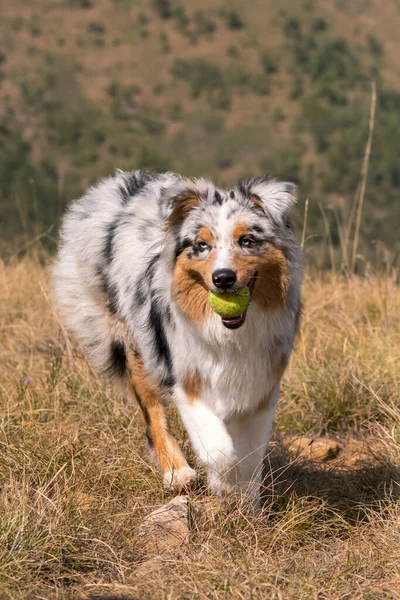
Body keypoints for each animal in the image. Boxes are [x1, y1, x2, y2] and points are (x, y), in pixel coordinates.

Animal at [53, 170, 304, 506]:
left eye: (247, 241)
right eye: (202, 245)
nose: (223, 278)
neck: (228, 333)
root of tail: (121, 182)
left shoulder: (261, 384)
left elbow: (251, 454)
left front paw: (246, 501)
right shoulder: (184, 374)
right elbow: (220, 449)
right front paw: (223, 485)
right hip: (132, 340)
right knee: (152, 412)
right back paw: (177, 472)